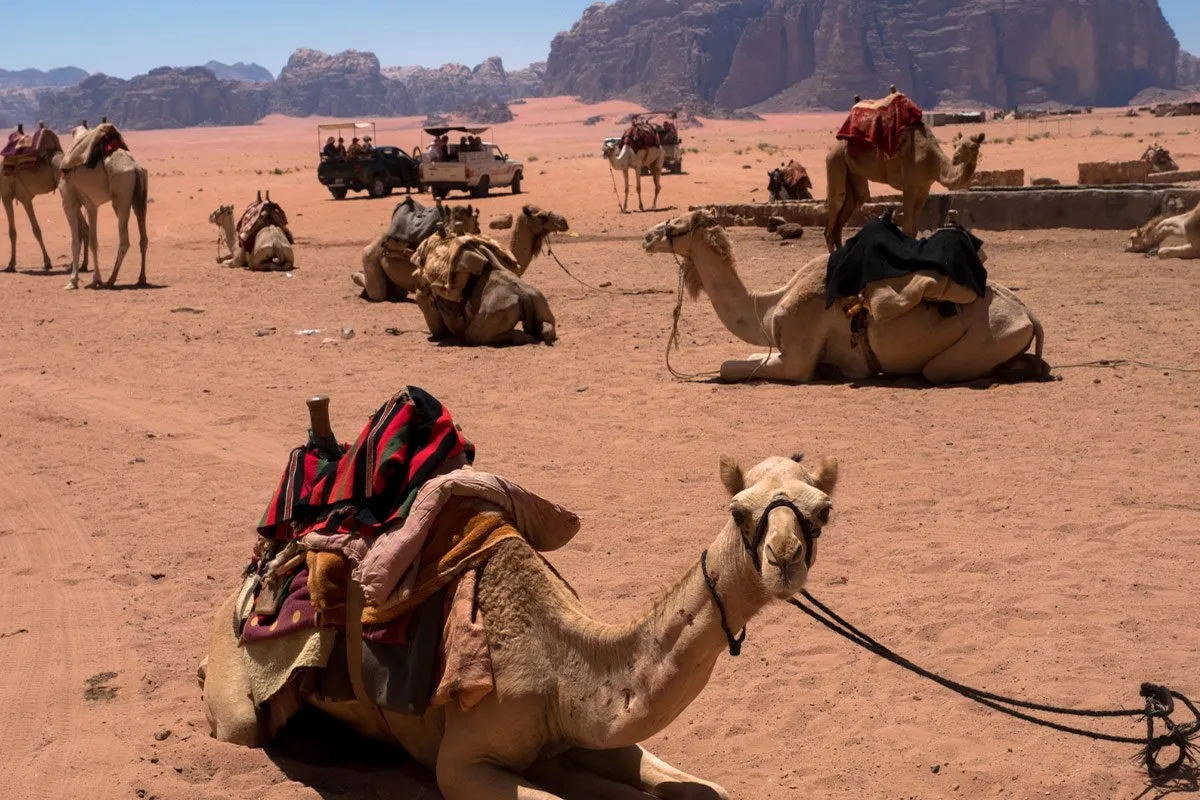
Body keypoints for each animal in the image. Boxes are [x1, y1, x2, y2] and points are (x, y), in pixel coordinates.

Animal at [60, 122, 149, 289]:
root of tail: (136, 168)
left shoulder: (69, 202)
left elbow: (75, 242)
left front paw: (72, 281)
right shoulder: (91, 205)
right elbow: (92, 240)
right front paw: (95, 279)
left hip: (121, 197)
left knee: (124, 241)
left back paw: (111, 279)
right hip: (139, 198)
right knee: (143, 238)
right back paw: (141, 279)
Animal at [199, 449, 840, 799]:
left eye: (823, 511)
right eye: (739, 510)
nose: (784, 556)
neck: (560, 665)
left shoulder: (587, 732)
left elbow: (707, 789)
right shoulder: (461, 761)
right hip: (237, 691)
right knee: (243, 727)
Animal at [413, 205, 569, 346]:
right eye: (542, 216)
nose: (564, 222)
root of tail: (524, 295)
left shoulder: (425, 299)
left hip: (489, 318)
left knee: (477, 336)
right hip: (539, 302)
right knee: (546, 330)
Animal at [644, 209, 1048, 384]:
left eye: (676, 227)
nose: (647, 237)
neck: (769, 305)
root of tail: (1030, 316)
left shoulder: (797, 361)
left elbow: (730, 367)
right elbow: (749, 357)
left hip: (981, 343)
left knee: (939, 370)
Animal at [824, 128, 985, 253]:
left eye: (972, 146)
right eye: (955, 145)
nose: (955, 158)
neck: (931, 161)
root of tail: (833, 148)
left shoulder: (924, 188)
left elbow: (914, 227)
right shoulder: (909, 186)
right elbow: (907, 227)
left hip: (853, 174)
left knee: (851, 205)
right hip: (835, 160)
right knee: (836, 204)